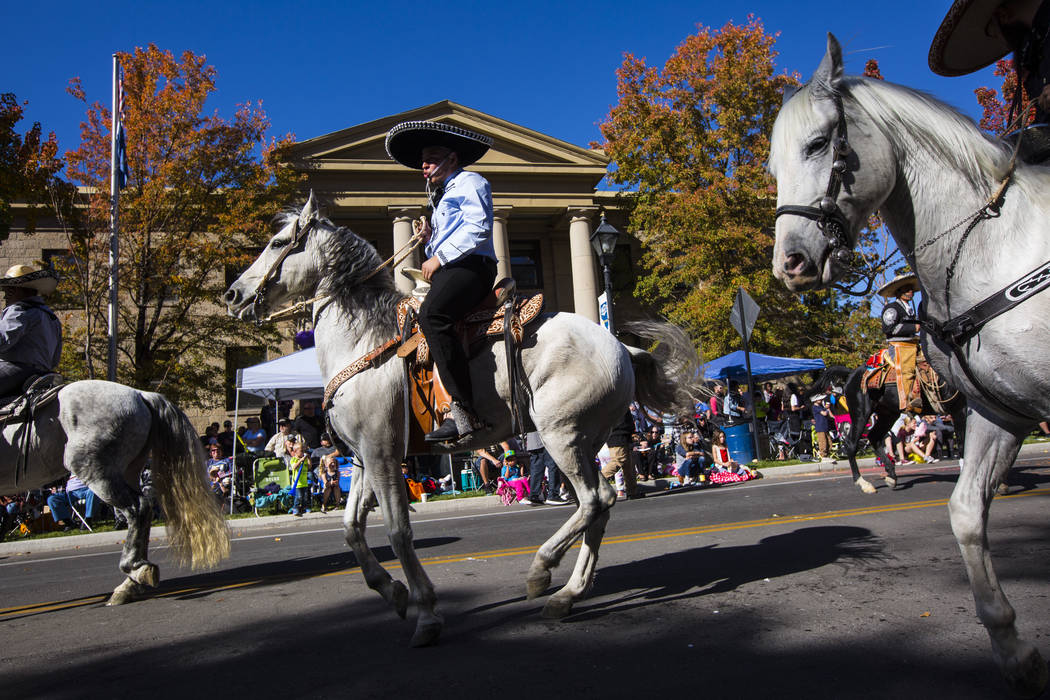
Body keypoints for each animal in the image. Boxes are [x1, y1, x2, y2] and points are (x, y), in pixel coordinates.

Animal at [0, 379, 229, 604]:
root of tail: (141, 394)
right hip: (128, 469)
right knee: (142, 512)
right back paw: (131, 582)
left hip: (96, 470)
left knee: (138, 508)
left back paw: (134, 572)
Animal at [221, 194, 697, 650]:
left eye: (278, 243)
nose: (233, 295)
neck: (363, 341)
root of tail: (623, 347)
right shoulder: (362, 457)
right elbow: (351, 529)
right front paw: (393, 592)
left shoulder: (382, 453)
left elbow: (397, 531)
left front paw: (427, 613)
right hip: (585, 439)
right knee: (598, 507)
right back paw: (566, 596)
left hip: (563, 436)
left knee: (595, 500)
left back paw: (541, 570)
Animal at [768, 35, 1050, 696]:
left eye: (818, 144)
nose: (789, 264)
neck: (994, 246)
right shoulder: (992, 411)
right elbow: (968, 501)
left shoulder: (1001, 410)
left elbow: (968, 509)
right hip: (872, 411)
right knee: (858, 444)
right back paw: (874, 480)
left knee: (874, 443)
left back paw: (888, 476)